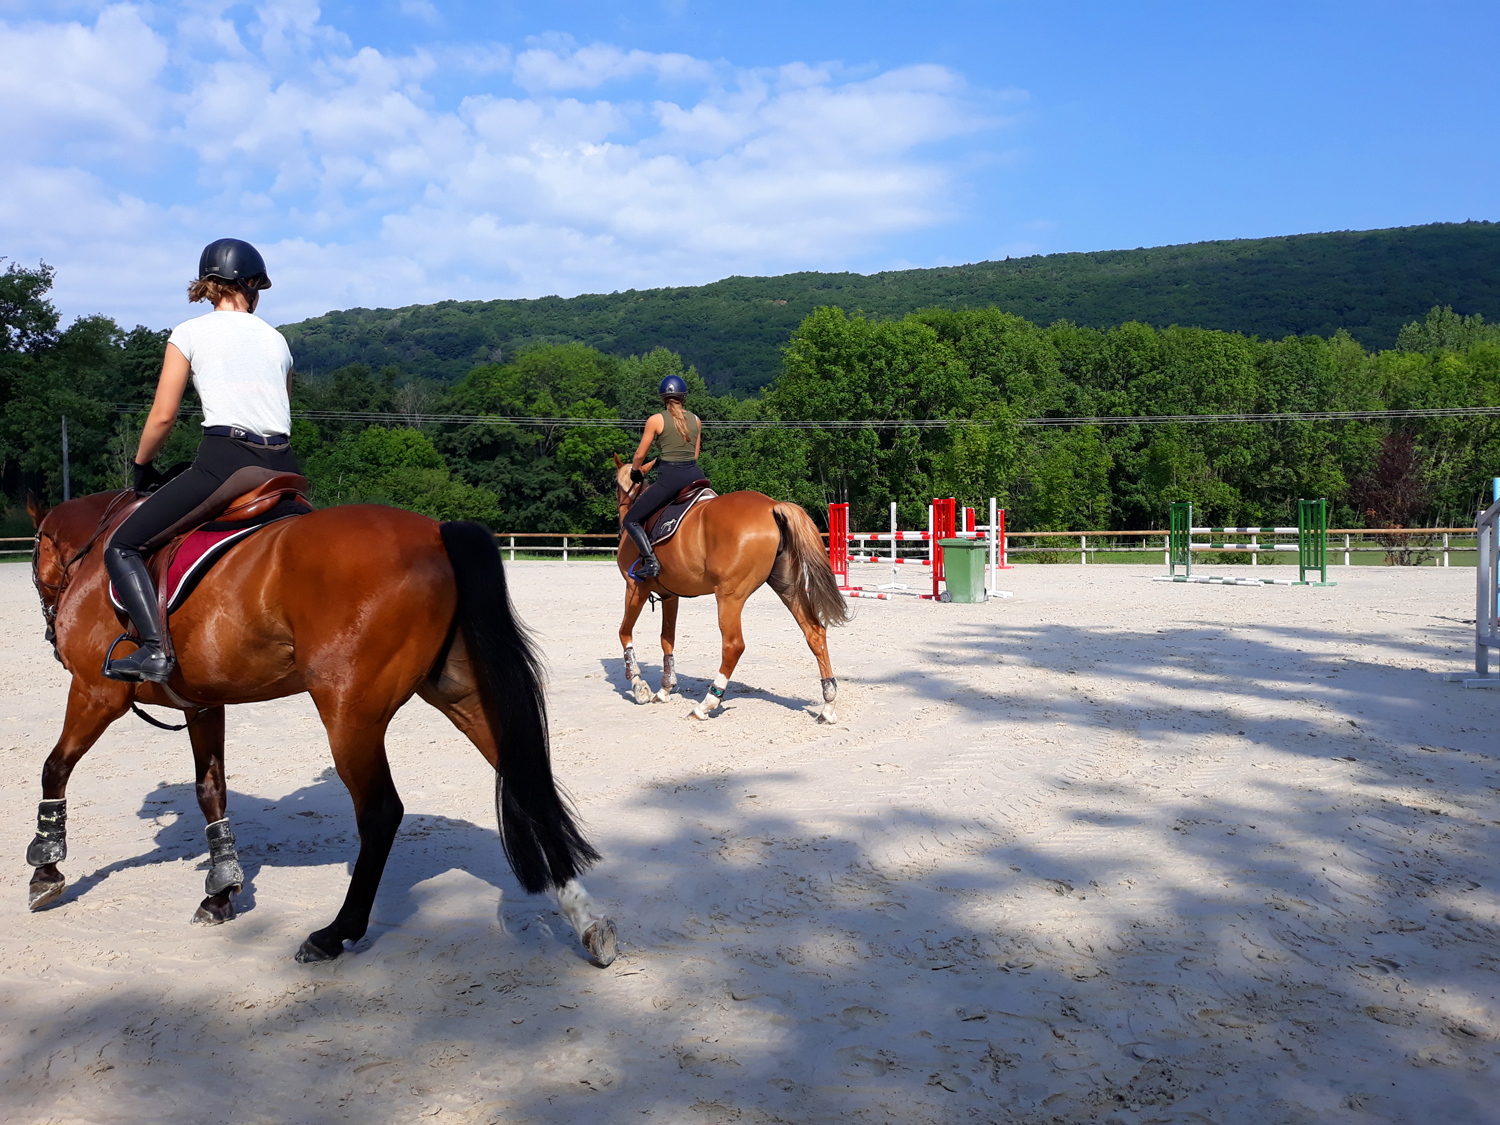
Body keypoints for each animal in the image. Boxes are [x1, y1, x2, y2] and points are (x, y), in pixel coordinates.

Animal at [23, 492, 612, 972]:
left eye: (34, 558)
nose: (50, 631)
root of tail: (435, 532)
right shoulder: (204, 703)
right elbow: (211, 791)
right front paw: (222, 891)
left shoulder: (96, 694)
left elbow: (55, 766)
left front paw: (46, 868)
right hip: (459, 695)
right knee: (525, 783)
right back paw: (588, 922)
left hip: (350, 715)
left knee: (381, 812)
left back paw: (334, 934)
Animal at [606, 456, 846, 723]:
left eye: (616, 485)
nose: (621, 512)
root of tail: (772, 506)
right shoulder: (670, 596)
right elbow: (667, 639)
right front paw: (665, 688)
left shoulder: (634, 587)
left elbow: (624, 633)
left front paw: (639, 685)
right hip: (788, 588)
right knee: (815, 633)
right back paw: (828, 704)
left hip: (729, 596)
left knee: (733, 645)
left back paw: (707, 703)